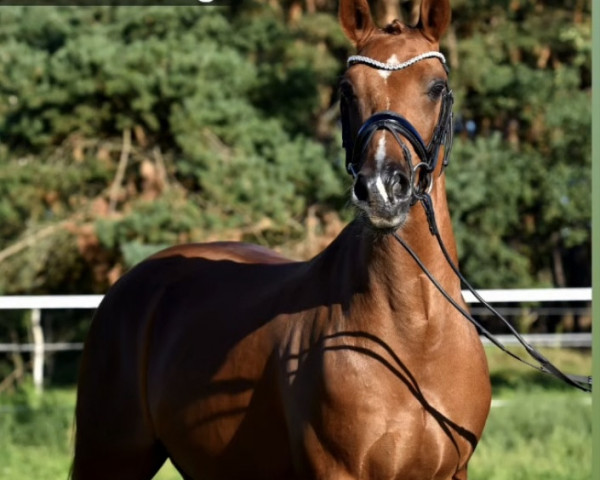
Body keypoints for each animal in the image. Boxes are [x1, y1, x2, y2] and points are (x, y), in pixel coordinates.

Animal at [72, 1, 490, 478]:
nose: (383, 190)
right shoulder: (336, 470)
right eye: (347, 90)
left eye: (436, 87)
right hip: (109, 457)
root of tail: (131, 283)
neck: (414, 338)